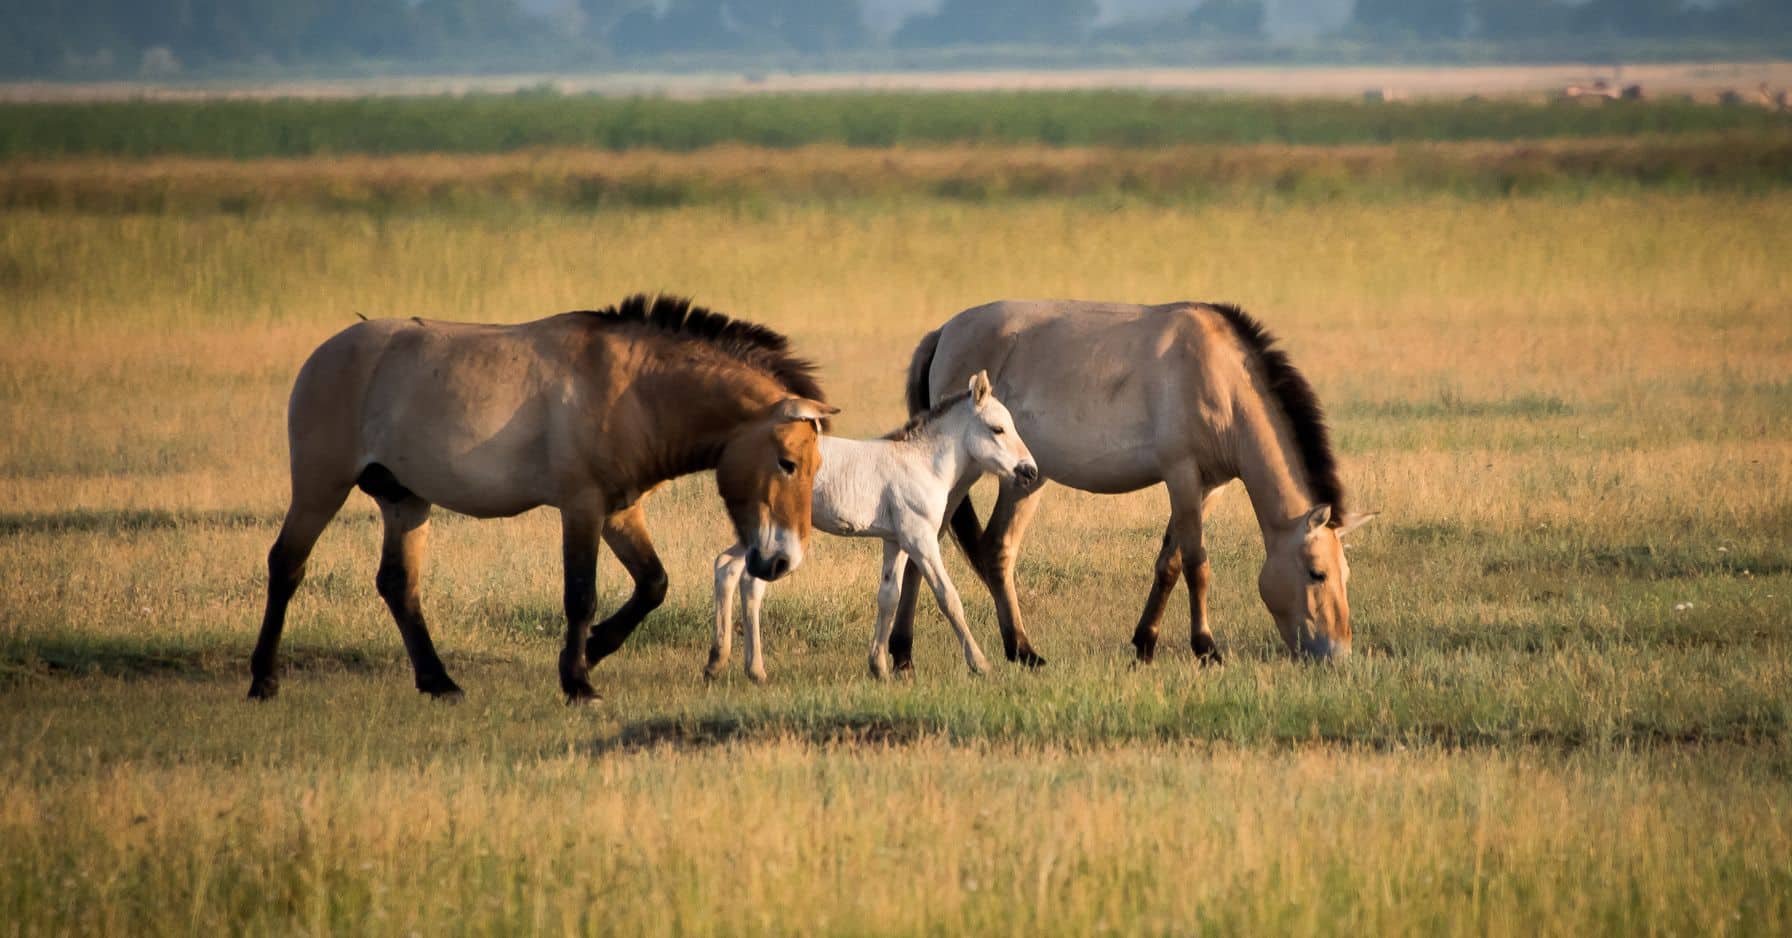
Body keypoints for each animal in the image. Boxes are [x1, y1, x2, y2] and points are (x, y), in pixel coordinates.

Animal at [248, 294, 837, 703]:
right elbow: (581, 595)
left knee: (398, 585)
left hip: (405, 501)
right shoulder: (581, 507)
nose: (780, 561)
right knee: (287, 565)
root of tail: (324, 354)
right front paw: (578, 681)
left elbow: (652, 584)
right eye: (788, 463)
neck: (633, 390)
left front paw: (592, 651)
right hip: (320, 485)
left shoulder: (620, 509)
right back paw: (263, 680)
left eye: (816, 467)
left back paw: (439, 681)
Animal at [706, 371, 1039, 683]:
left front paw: (878, 667)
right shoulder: (920, 539)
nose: (1029, 471)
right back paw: (751, 668)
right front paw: (980, 663)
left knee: (727, 568)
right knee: (749, 580)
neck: (922, 463)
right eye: (997, 428)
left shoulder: (896, 541)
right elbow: (948, 597)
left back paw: (721, 663)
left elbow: (889, 597)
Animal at [887, 300, 1373, 671]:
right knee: (925, 550)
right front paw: (1206, 649)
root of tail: (944, 333)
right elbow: (1196, 564)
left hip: (1025, 481)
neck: (1222, 380)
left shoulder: (1208, 488)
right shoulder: (1182, 475)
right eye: (1317, 573)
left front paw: (1145, 645)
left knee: (996, 551)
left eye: (1346, 574)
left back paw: (1022, 651)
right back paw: (902, 654)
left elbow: (1169, 564)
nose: (1337, 654)